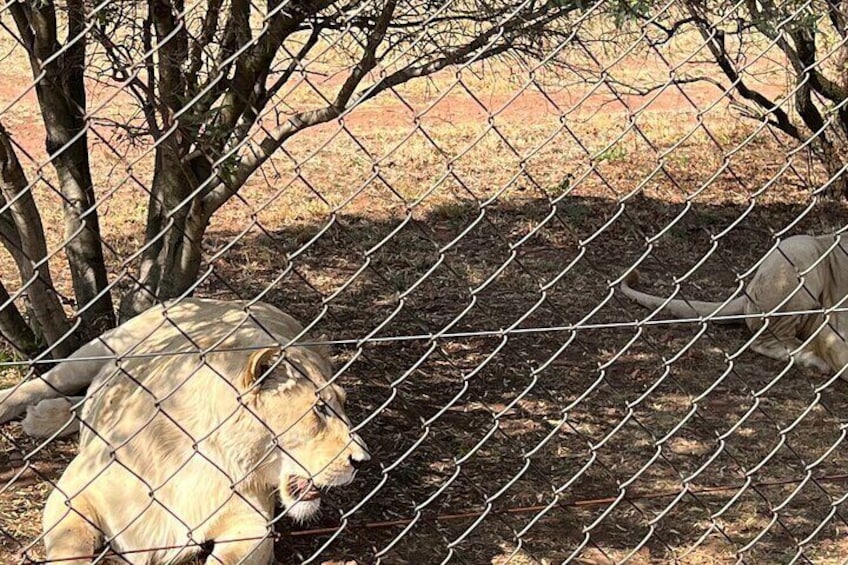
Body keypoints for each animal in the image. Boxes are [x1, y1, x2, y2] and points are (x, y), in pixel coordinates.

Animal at [2, 298, 368, 560]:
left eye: (343, 404)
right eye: (320, 409)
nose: (363, 461)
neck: (209, 461)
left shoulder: (252, 526)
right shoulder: (72, 495)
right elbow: (71, 550)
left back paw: (44, 417)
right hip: (103, 348)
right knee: (43, 381)